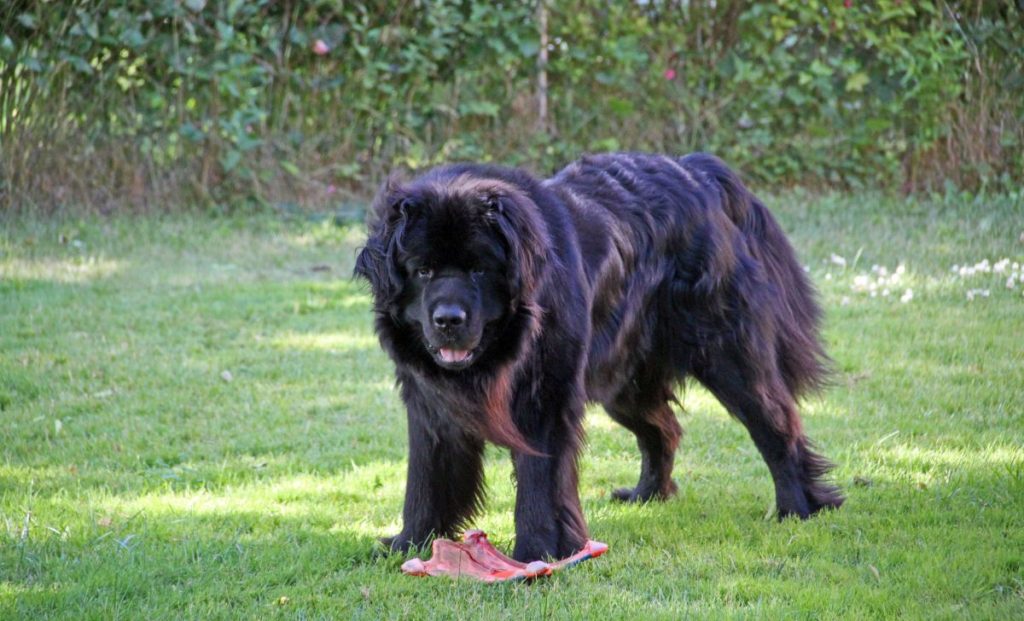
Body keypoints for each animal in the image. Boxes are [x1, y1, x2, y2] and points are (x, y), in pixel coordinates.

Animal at [356, 151, 843, 565]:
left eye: (479, 269)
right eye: (422, 270)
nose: (448, 319)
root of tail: (697, 172)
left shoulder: (544, 401)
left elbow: (539, 483)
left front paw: (536, 553)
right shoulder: (430, 405)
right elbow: (426, 478)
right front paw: (409, 544)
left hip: (728, 357)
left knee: (775, 423)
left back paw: (797, 508)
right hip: (625, 382)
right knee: (663, 429)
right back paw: (648, 494)